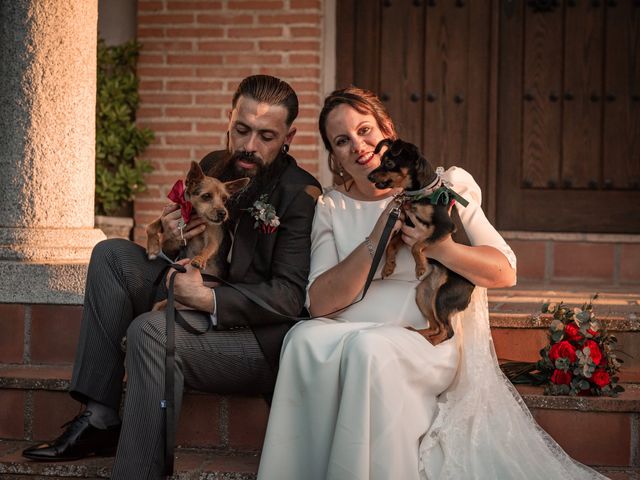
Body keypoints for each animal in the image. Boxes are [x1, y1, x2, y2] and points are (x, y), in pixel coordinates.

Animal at [364, 139, 476, 344]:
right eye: (380, 161)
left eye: (389, 163)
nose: (369, 176)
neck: (420, 194)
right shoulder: (404, 228)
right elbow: (390, 245)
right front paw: (388, 267)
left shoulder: (444, 227)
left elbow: (417, 245)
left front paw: (420, 267)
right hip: (423, 295)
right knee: (435, 326)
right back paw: (418, 334)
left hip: (443, 296)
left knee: (447, 331)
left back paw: (431, 343)